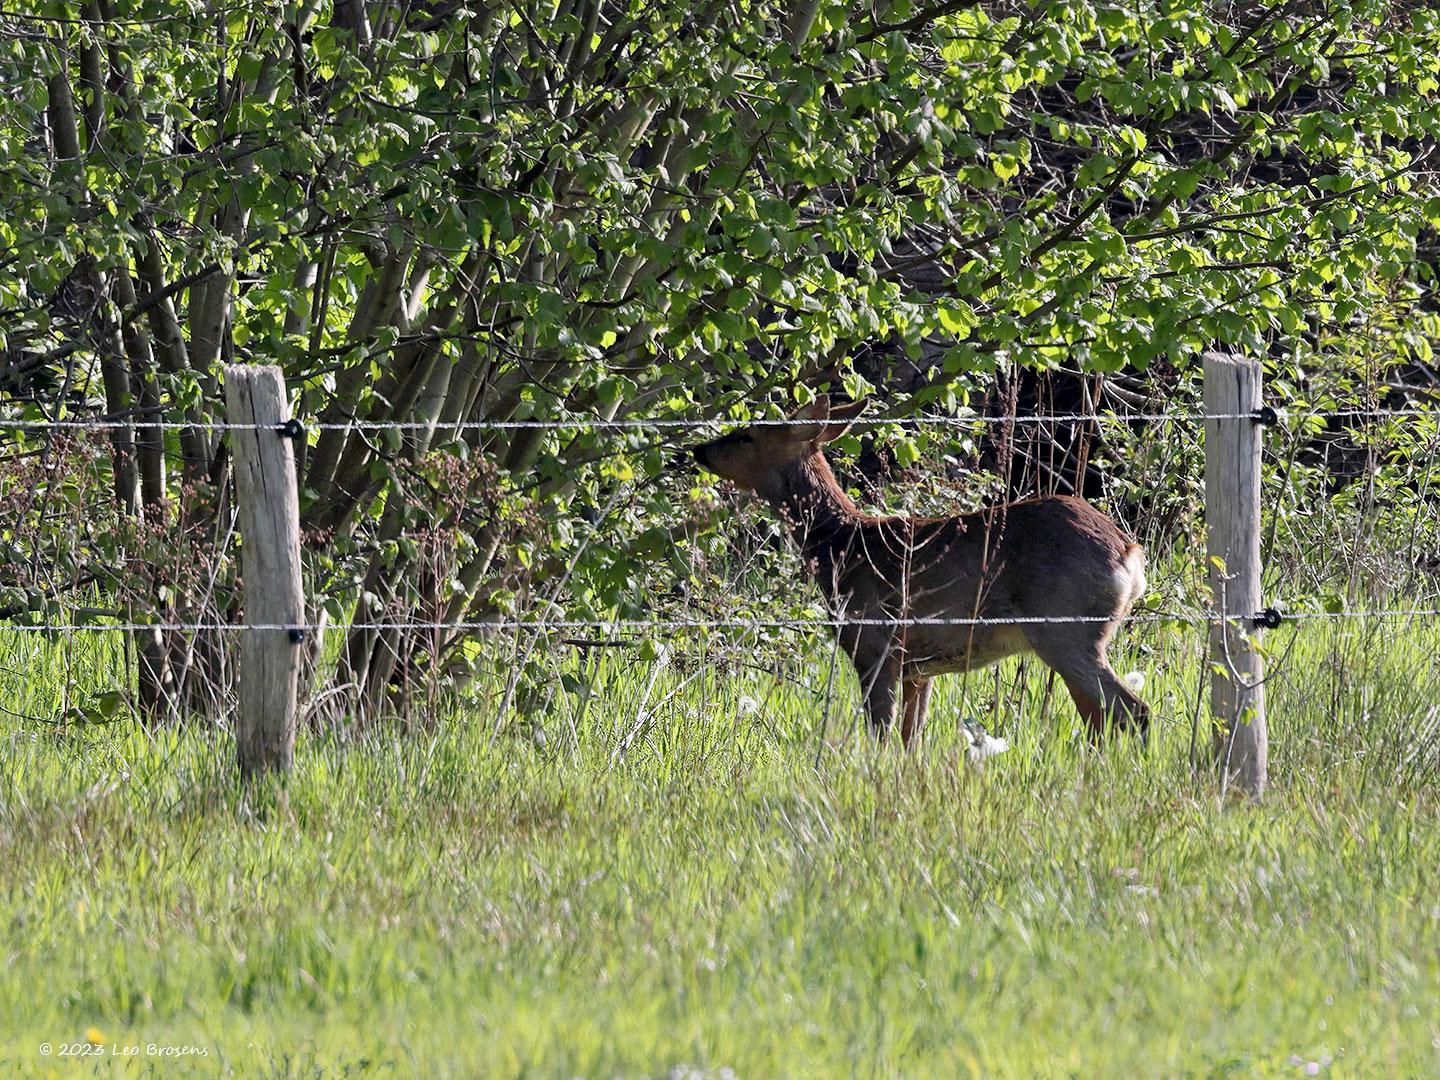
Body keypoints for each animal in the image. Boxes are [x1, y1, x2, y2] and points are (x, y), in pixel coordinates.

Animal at [692, 395, 1149, 745]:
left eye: (747, 434)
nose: (698, 450)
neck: (841, 548)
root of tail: (1130, 553)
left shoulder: (875, 644)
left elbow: (881, 733)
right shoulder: (920, 667)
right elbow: (912, 737)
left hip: (1065, 628)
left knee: (1133, 710)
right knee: (1100, 717)